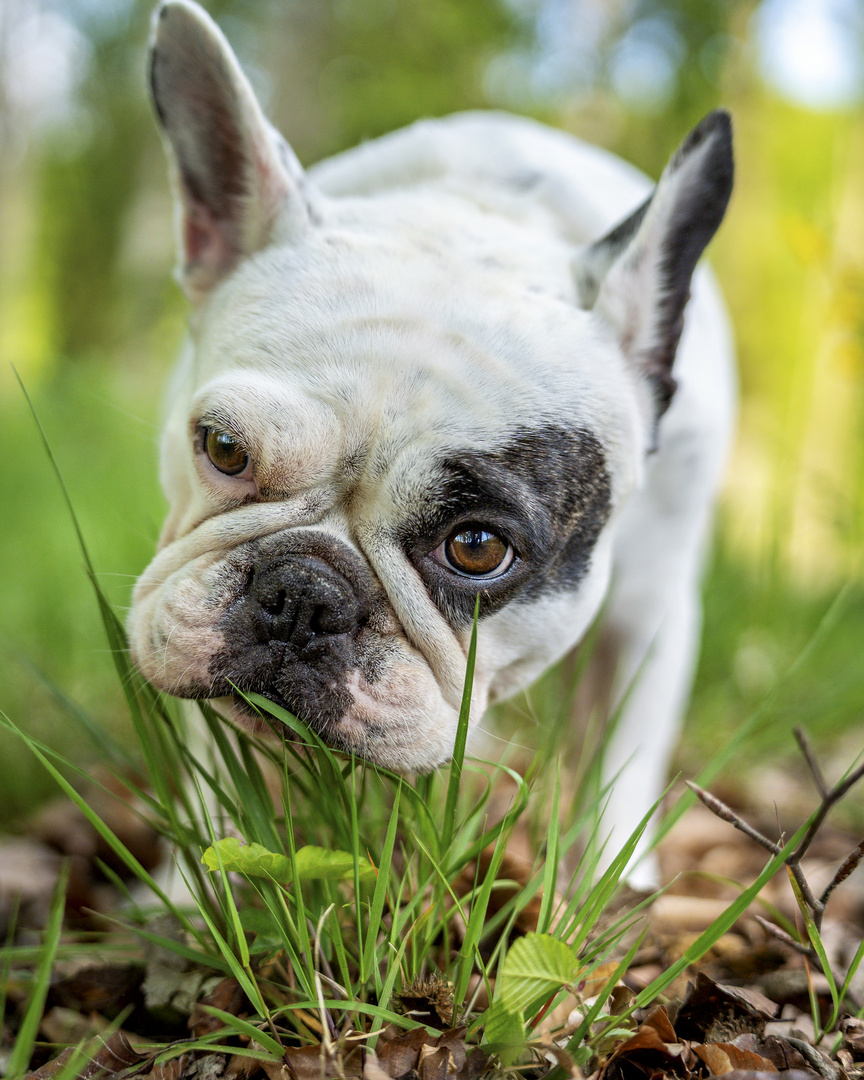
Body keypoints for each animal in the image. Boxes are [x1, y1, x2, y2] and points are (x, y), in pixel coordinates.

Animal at [130, 0, 734, 885]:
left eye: (477, 547)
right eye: (224, 448)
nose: (305, 592)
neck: (480, 217)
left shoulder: (648, 610)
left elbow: (623, 753)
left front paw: (610, 889)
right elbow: (219, 761)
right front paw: (193, 889)